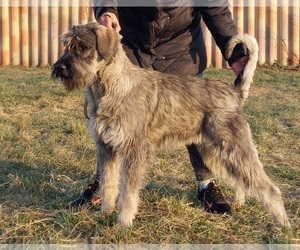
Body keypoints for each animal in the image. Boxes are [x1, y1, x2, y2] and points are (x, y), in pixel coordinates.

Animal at [51, 22, 290, 228]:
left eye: (83, 47)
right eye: (67, 44)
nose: (60, 68)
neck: (110, 87)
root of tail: (235, 92)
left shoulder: (134, 151)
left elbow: (127, 191)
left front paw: (123, 222)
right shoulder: (106, 148)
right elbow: (108, 183)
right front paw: (105, 213)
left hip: (235, 148)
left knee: (269, 187)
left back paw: (282, 224)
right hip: (214, 150)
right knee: (238, 178)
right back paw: (238, 201)